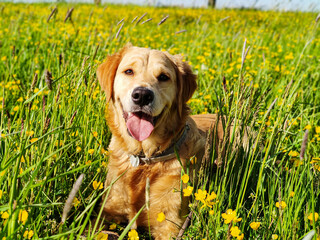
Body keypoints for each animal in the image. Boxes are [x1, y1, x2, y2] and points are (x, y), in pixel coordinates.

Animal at [96, 44, 224, 239]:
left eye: (164, 77)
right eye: (129, 71)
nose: (142, 95)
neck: (144, 159)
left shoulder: (170, 225)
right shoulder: (108, 209)